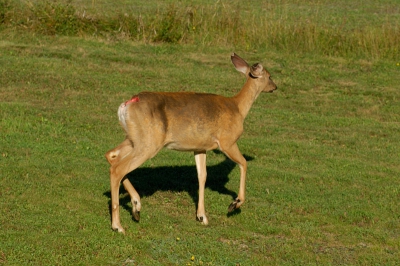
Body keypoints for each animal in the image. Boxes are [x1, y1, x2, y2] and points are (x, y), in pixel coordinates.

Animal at [104, 53, 276, 233]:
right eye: (270, 76)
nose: (275, 87)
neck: (238, 108)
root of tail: (127, 104)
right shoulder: (227, 141)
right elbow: (243, 163)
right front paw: (234, 204)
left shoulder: (200, 147)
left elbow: (202, 176)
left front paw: (202, 216)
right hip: (148, 143)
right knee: (118, 169)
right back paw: (118, 225)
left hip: (134, 139)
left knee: (111, 156)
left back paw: (136, 208)